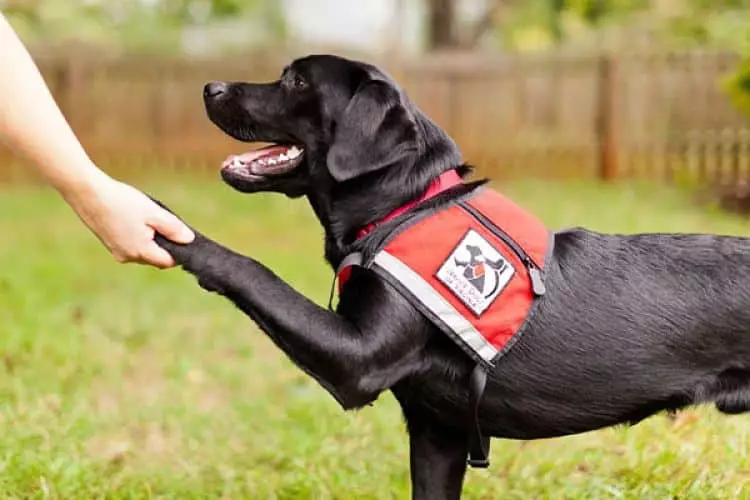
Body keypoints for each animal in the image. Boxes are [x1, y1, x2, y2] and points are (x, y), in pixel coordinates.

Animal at [156, 52, 750, 498]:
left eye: (297, 80)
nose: (210, 87)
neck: (402, 205)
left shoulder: (358, 358)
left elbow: (254, 270)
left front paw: (168, 227)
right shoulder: (438, 431)